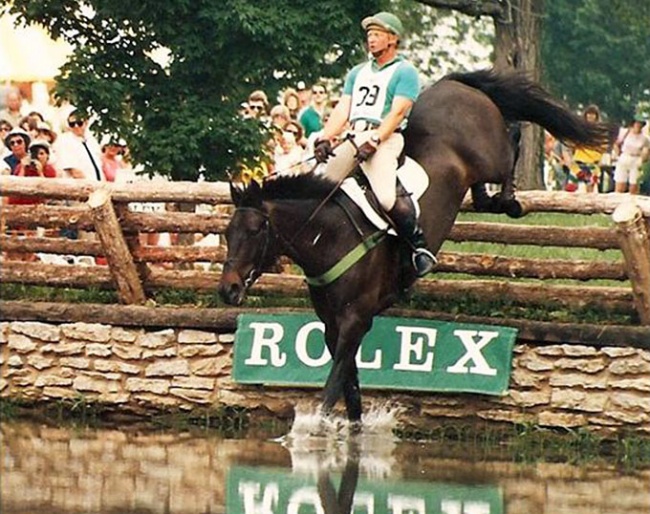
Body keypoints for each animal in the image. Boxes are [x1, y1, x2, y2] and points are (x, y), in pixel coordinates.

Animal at [218, 68, 608, 424]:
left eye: (255, 230)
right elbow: (351, 387)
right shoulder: (332, 324)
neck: (330, 237)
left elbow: (332, 390)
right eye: (227, 233)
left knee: (512, 139)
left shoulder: (355, 320)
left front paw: (316, 432)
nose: (228, 290)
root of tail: (452, 84)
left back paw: (510, 199)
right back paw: (493, 200)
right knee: (485, 184)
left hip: (489, 154)